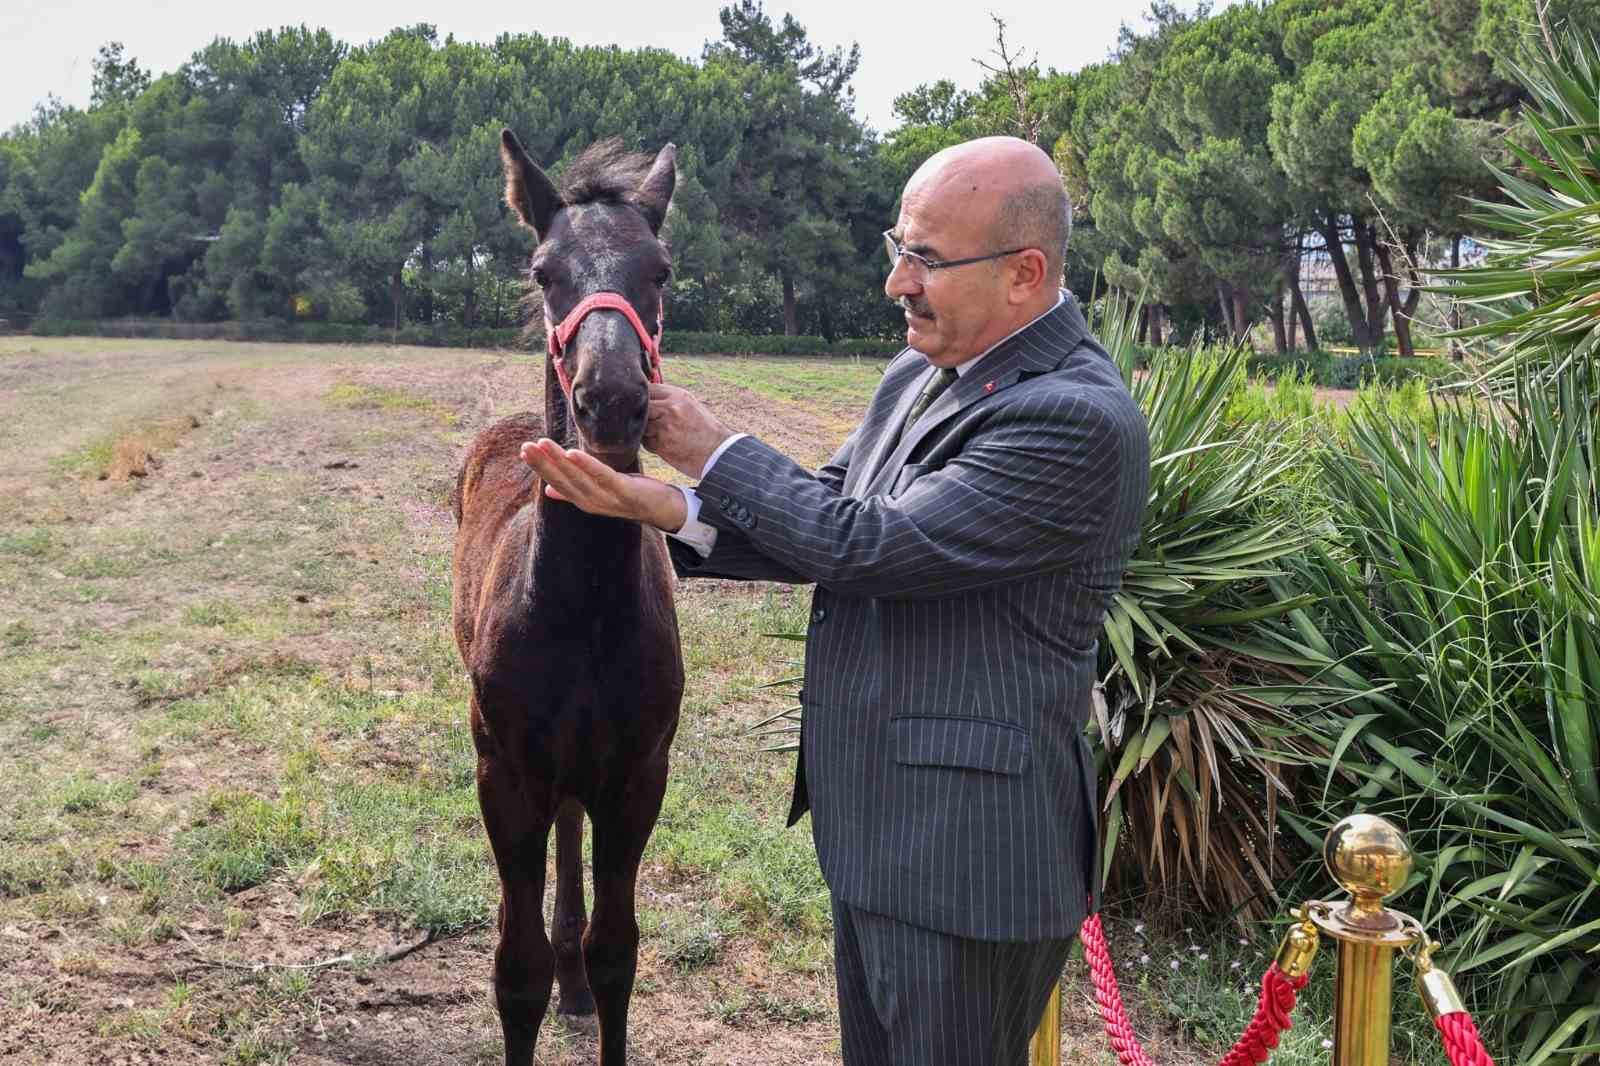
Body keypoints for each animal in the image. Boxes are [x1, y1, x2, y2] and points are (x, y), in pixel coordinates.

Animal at [448, 130, 684, 1062]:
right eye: (544, 270)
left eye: (659, 269)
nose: (610, 401)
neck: (579, 608)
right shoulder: (504, 773)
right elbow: (515, 969)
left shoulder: (638, 774)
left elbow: (618, 950)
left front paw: (589, 976)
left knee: (573, 833)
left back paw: (575, 981)